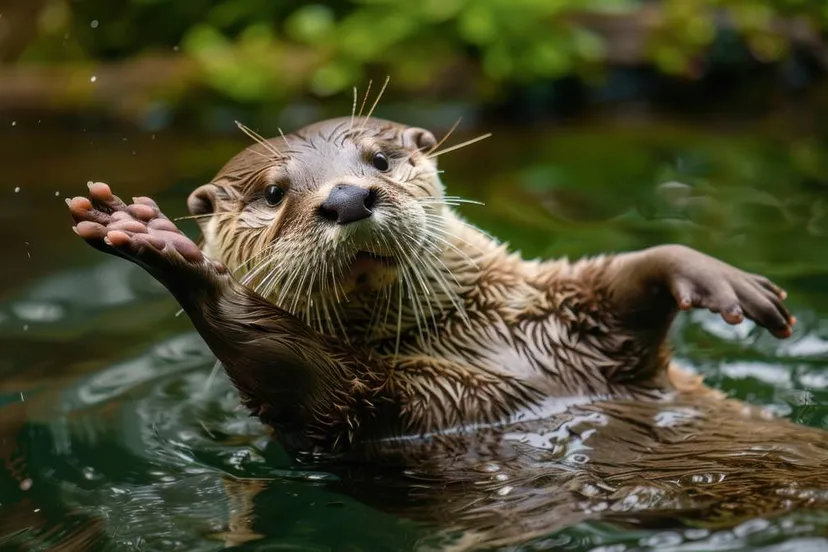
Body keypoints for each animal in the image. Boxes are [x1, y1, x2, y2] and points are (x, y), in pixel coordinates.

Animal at [65, 115, 828, 549]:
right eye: (276, 193)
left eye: (378, 160)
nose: (347, 197)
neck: (477, 338)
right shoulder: (365, 417)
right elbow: (291, 373)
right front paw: (167, 254)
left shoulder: (573, 314)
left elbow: (631, 278)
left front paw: (719, 279)